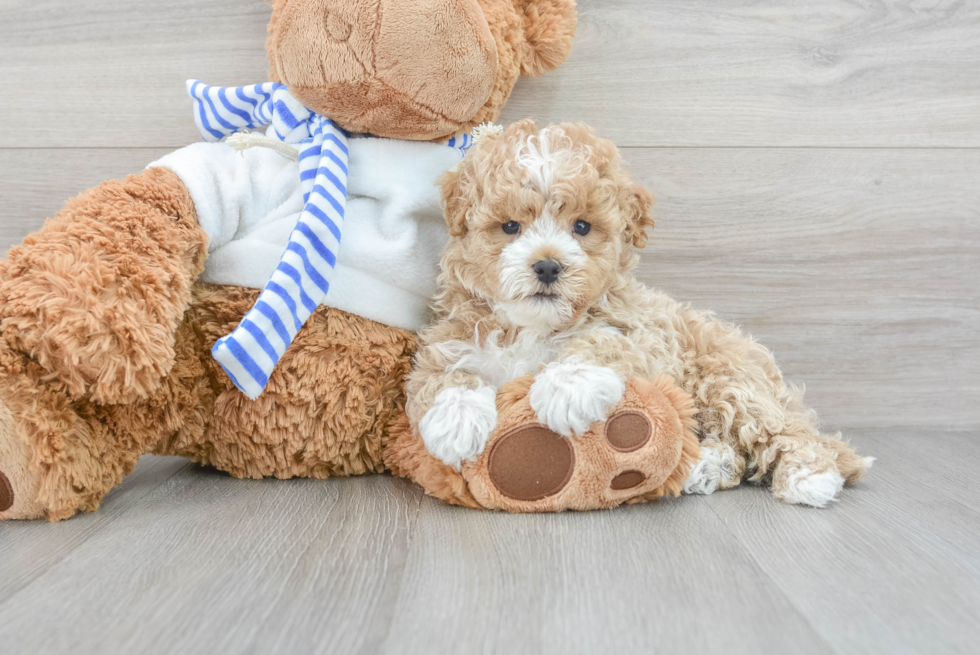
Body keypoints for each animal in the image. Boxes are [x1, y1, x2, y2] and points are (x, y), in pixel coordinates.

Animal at [406, 119, 872, 508]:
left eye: (581, 227)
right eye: (509, 227)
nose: (548, 266)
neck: (532, 327)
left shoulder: (648, 336)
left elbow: (605, 341)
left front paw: (566, 388)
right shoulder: (451, 334)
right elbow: (442, 372)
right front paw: (456, 420)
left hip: (729, 378)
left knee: (777, 430)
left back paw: (808, 475)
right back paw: (702, 465)